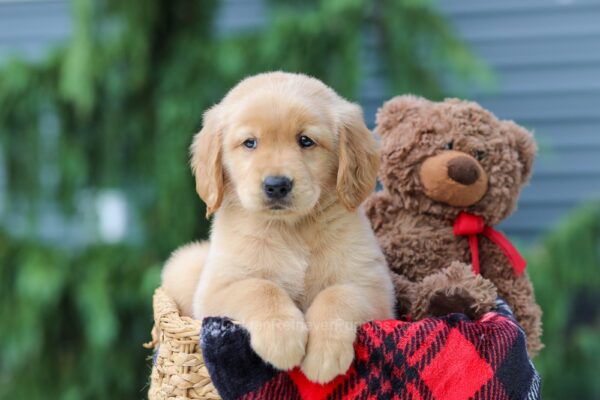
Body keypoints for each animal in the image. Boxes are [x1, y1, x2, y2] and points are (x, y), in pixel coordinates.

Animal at [161, 72, 394, 384]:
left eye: (306, 141)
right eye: (250, 143)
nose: (276, 185)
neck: (291, 230)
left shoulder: (374, 289)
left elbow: (337, 295)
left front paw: (324, 354)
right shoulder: (215, 291)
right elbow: (260, 287)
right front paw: (283, 338)